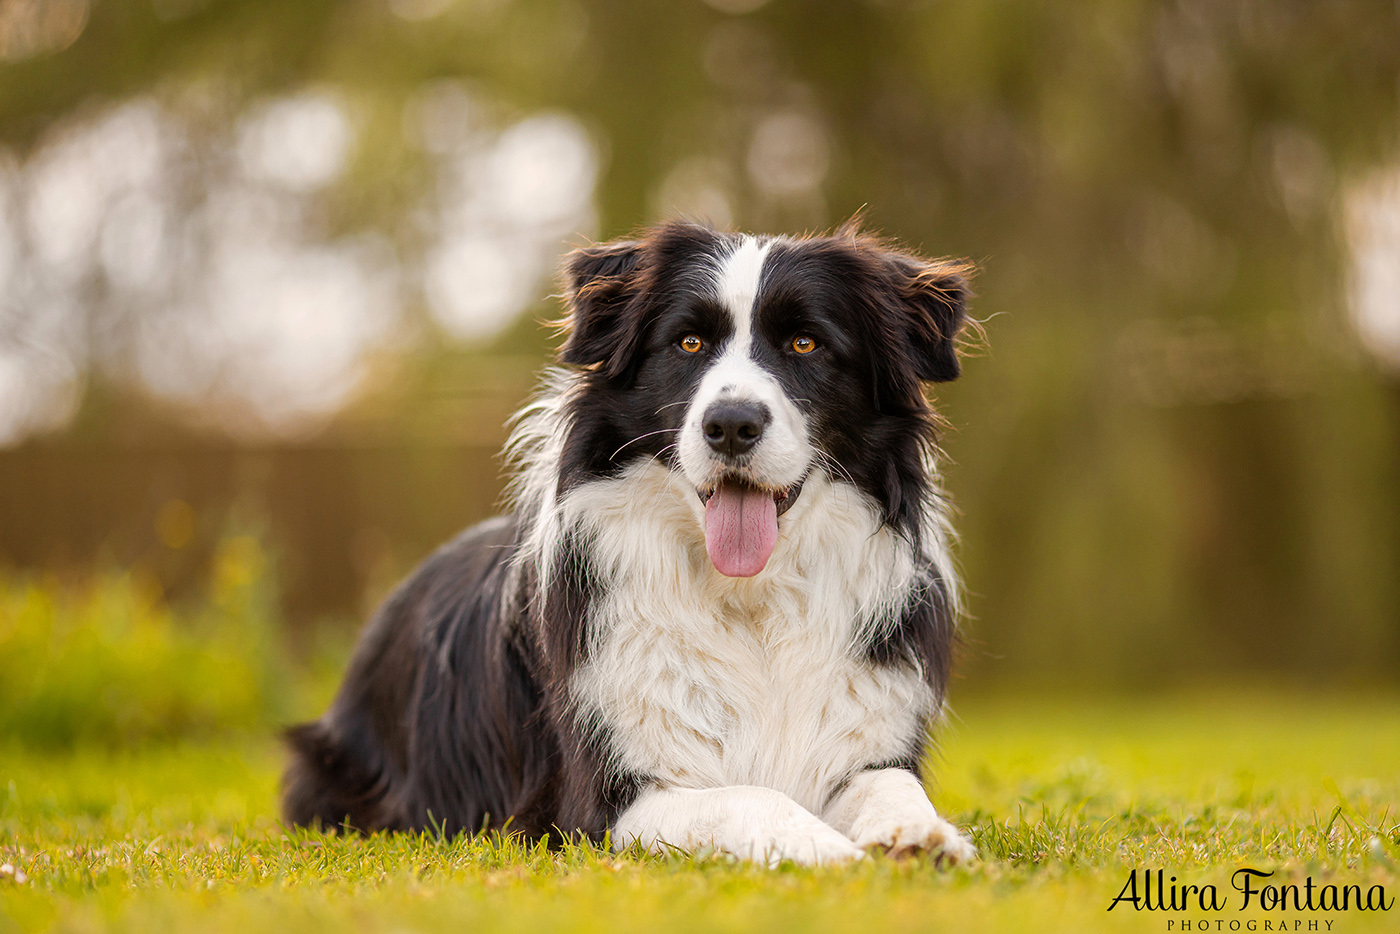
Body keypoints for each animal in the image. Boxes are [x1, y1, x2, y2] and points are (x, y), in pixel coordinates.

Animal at [284, 222, 980, 868]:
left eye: (806, 343)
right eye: (688, 342)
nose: (731, 425)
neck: (749, 600)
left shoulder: (862, 736)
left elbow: (891, 784)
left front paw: (920, 834)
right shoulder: (595, 806)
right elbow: (748, 797)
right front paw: (829, 850)